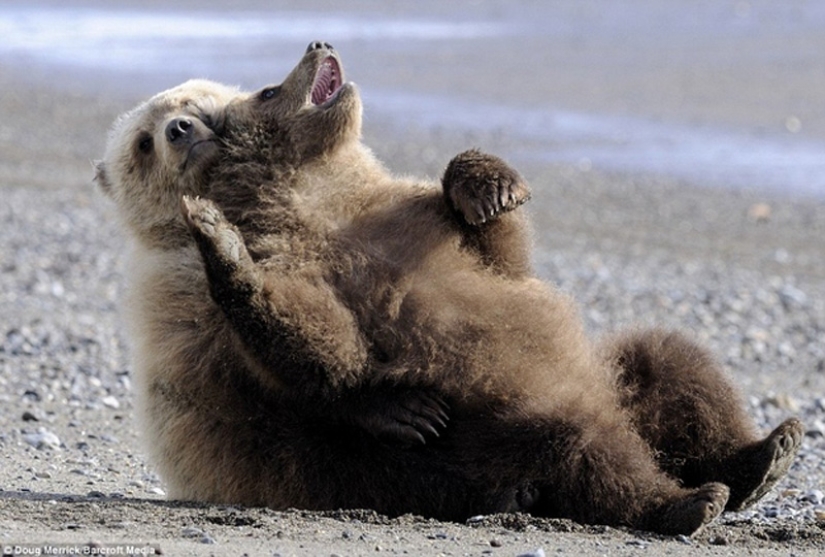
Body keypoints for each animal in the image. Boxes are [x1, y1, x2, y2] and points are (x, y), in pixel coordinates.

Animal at [96, 41, 803, 535]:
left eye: (206, 107)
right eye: (270, 87)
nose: (317, 42)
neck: (309, 197)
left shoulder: (405, 217)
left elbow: (505, 257)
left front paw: (489, 188)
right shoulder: (237, 285)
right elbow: (302, 348)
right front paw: (223, 243)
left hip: (613, 377)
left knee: (674, 361)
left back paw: (763, 454)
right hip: (504, 431)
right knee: (589, 452)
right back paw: (685, 501)